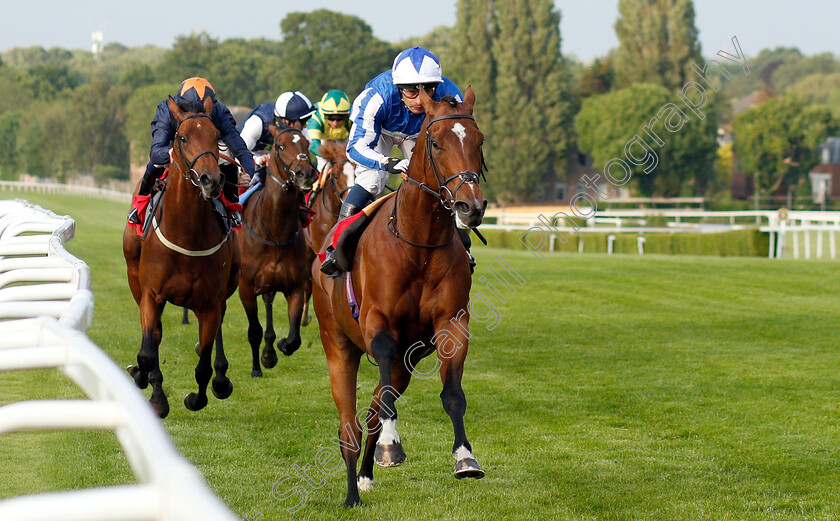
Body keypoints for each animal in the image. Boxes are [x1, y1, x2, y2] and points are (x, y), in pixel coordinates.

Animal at [121, 94, 241, 418]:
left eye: (216, 136)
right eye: (183, 137)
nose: (212, 180)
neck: (187, 233)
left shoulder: (210, 303)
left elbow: (203, 365)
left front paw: (196, 397)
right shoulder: (151, 295)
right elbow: (148, 352)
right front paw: (154, 394)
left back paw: (221, 378)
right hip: (135, 279)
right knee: (155, 335)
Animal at [238, 122, 316, 374]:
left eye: (306, 144)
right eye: (280, 146)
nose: (305, 173)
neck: (275, 232)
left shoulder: (295, 287)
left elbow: (294, 338)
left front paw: (277, 349)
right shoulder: (245, 287)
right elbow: (254, 330)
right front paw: (257, 367)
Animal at [314, 87, 486, 506]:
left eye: (479, 141)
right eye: (436, 143)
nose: (471, 206)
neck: (418, 244)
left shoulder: (452, 322)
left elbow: (452, 394)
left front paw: (465, 457)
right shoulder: (378, 324)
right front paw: (392, 444)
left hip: (406, 362)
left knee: (374, 408)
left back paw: (365, 476)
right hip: (337, 345)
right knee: (349, 425)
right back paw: (352, 493)